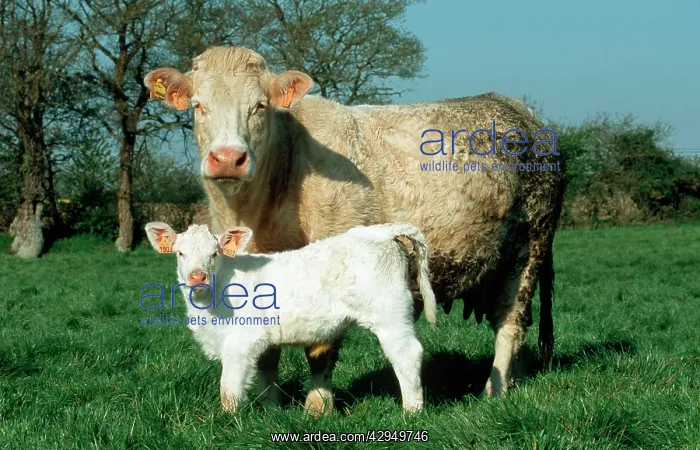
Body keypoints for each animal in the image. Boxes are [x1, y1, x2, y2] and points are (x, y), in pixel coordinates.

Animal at [144, 46, 565, 416]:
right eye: (198, 106)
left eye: (259, 106)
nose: (228, 158)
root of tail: (520, 110)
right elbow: (267, 354)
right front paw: (270, 406)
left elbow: (320, 349)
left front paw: (318, 407)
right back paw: (512, 383)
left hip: (529, 250)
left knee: (510, 324)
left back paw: (493, 392)